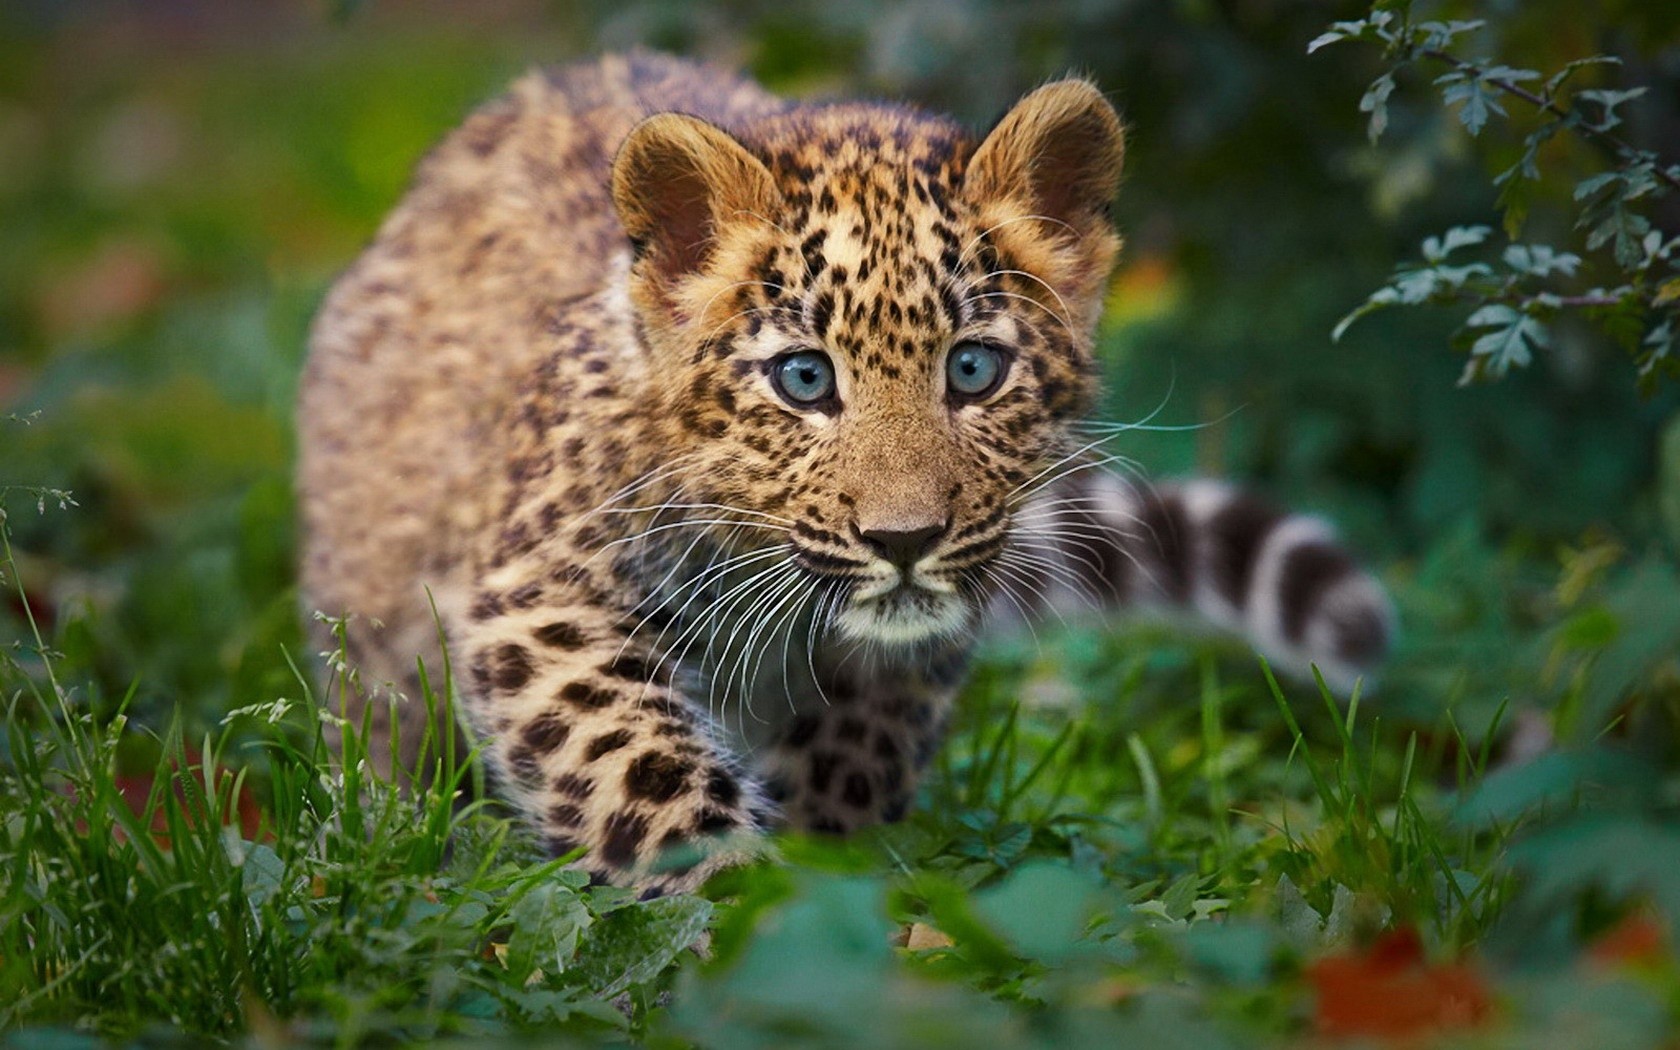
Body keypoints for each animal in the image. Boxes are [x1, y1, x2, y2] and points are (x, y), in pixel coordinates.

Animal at [297, 53, 1393, 896]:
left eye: (973, 369)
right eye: (805, 378)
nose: (904, 542)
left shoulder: (913, 641)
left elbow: (858, 751)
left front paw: (828, 887)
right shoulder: (541, 598)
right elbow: (634, 768)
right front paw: (731, 909)